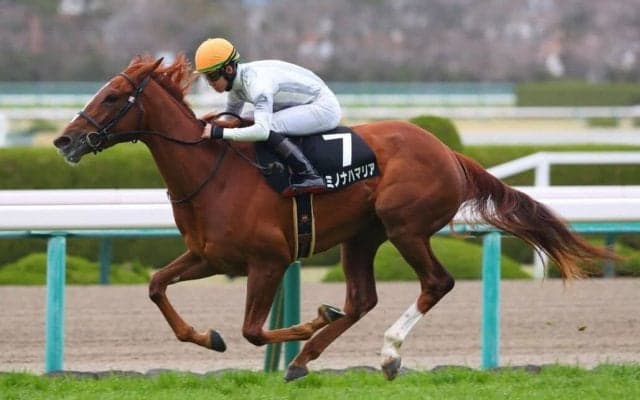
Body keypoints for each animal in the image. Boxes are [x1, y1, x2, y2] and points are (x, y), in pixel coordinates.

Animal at [54, 55, 610, 381]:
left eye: (110, 96)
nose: (64, 140)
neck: (212, 173)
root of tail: (449, 152)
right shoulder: (209, 257)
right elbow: (155, 286)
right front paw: (209, 337)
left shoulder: (270, 260)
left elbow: (253, 330)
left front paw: (312, 319)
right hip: (361, 236)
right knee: (363, 299)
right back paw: (304, 361)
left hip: (405, 226)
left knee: (436, 282)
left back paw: (387, 353)